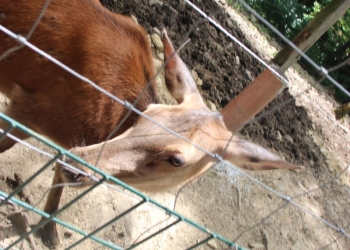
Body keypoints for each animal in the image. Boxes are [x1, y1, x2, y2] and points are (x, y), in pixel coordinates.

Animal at [0, 0, 302, 247]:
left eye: (177, 160)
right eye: (147, 114)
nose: (78, 164)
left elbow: (56, 179)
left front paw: (49, 231)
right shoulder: (29, 104)